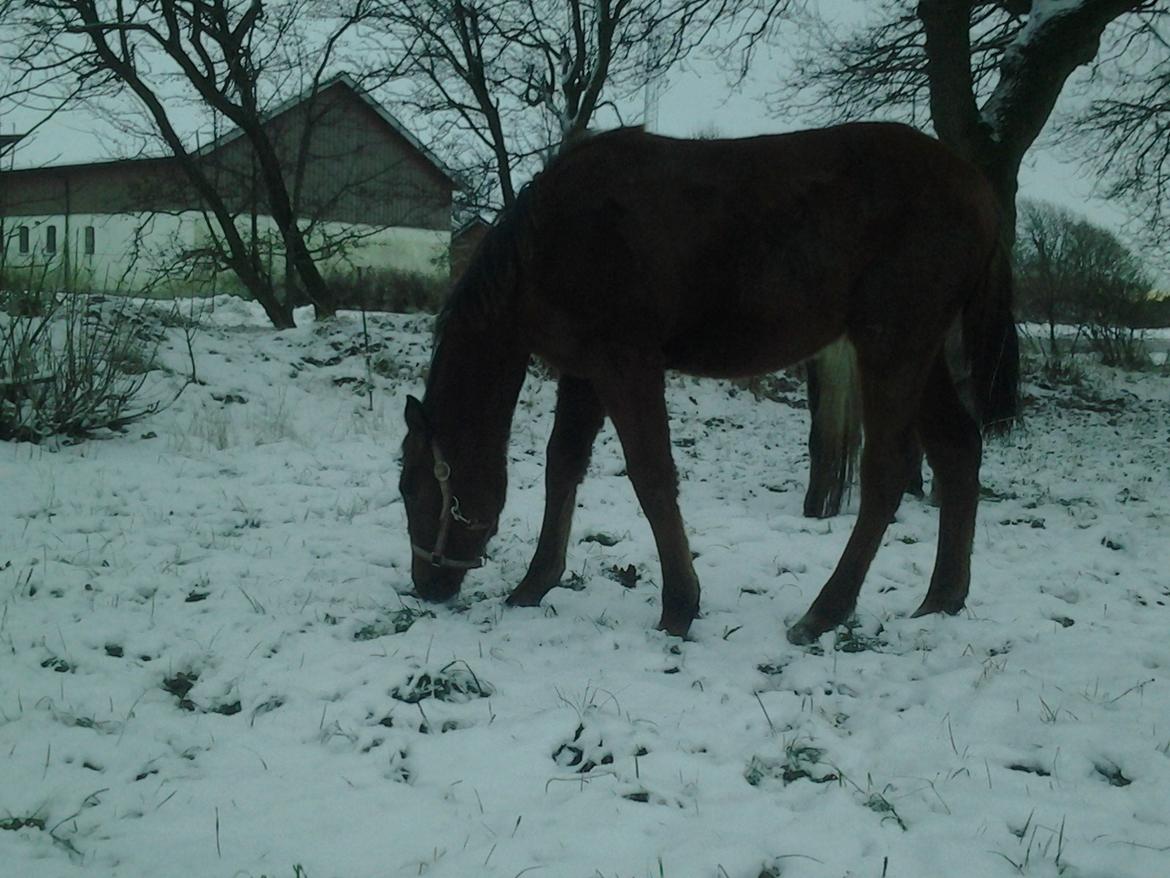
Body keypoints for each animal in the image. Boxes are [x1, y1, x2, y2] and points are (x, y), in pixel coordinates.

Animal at [400, 122, 1015, 646]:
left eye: (412, 489)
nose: (427, 586)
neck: (546, 245)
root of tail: (979, 189)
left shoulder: (626, 365)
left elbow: (651, 476)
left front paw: (679, 605)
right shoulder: (584, 372)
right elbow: (564, 464)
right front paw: (536, 581)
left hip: (893, 344)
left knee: (887, 472)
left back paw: (823, 613)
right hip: (921, 354)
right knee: (958, 449)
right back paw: (941, 600)